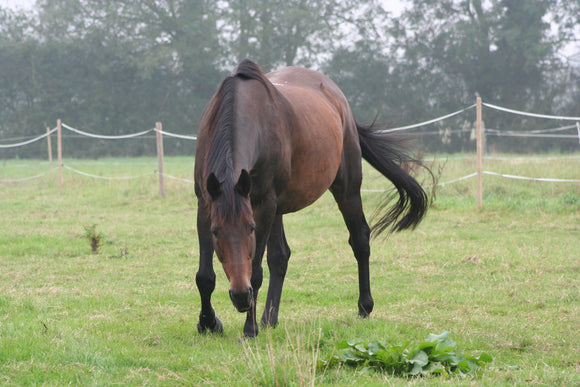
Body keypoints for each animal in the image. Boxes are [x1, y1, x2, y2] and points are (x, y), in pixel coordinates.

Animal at [193, 59, 428, 338]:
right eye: (216, 232)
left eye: (250, 228)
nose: (241, 297)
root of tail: (341, 102)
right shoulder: (205, 203)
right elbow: (205, 276)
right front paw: (208, 322)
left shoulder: (263, 205)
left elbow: (256, 272)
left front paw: (249, 330)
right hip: (278, 208)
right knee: (280, 256)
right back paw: (269, 319)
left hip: (346, 189)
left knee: (359, 239)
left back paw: (364, 307)